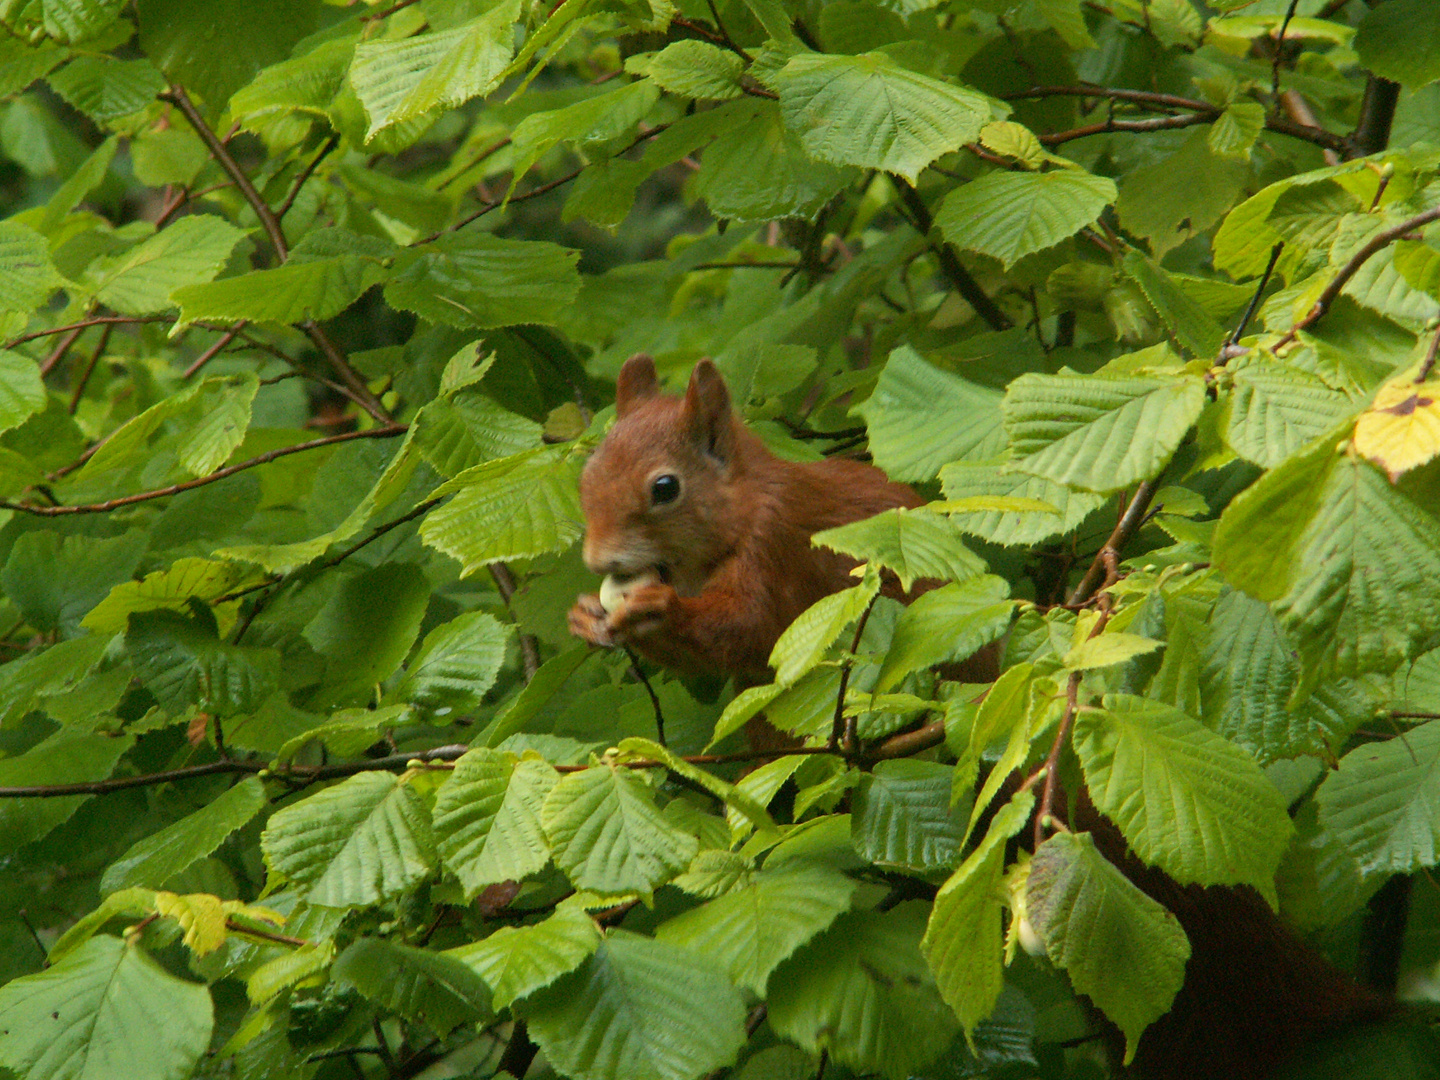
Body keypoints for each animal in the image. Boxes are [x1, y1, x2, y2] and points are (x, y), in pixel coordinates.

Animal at [564, 357, 1393, 1080]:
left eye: (665, 488)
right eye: (586, 477)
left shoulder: (777, 549)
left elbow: (742, 629)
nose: (601, 561)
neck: (734, 513)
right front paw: (589, 618)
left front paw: (652, 612)